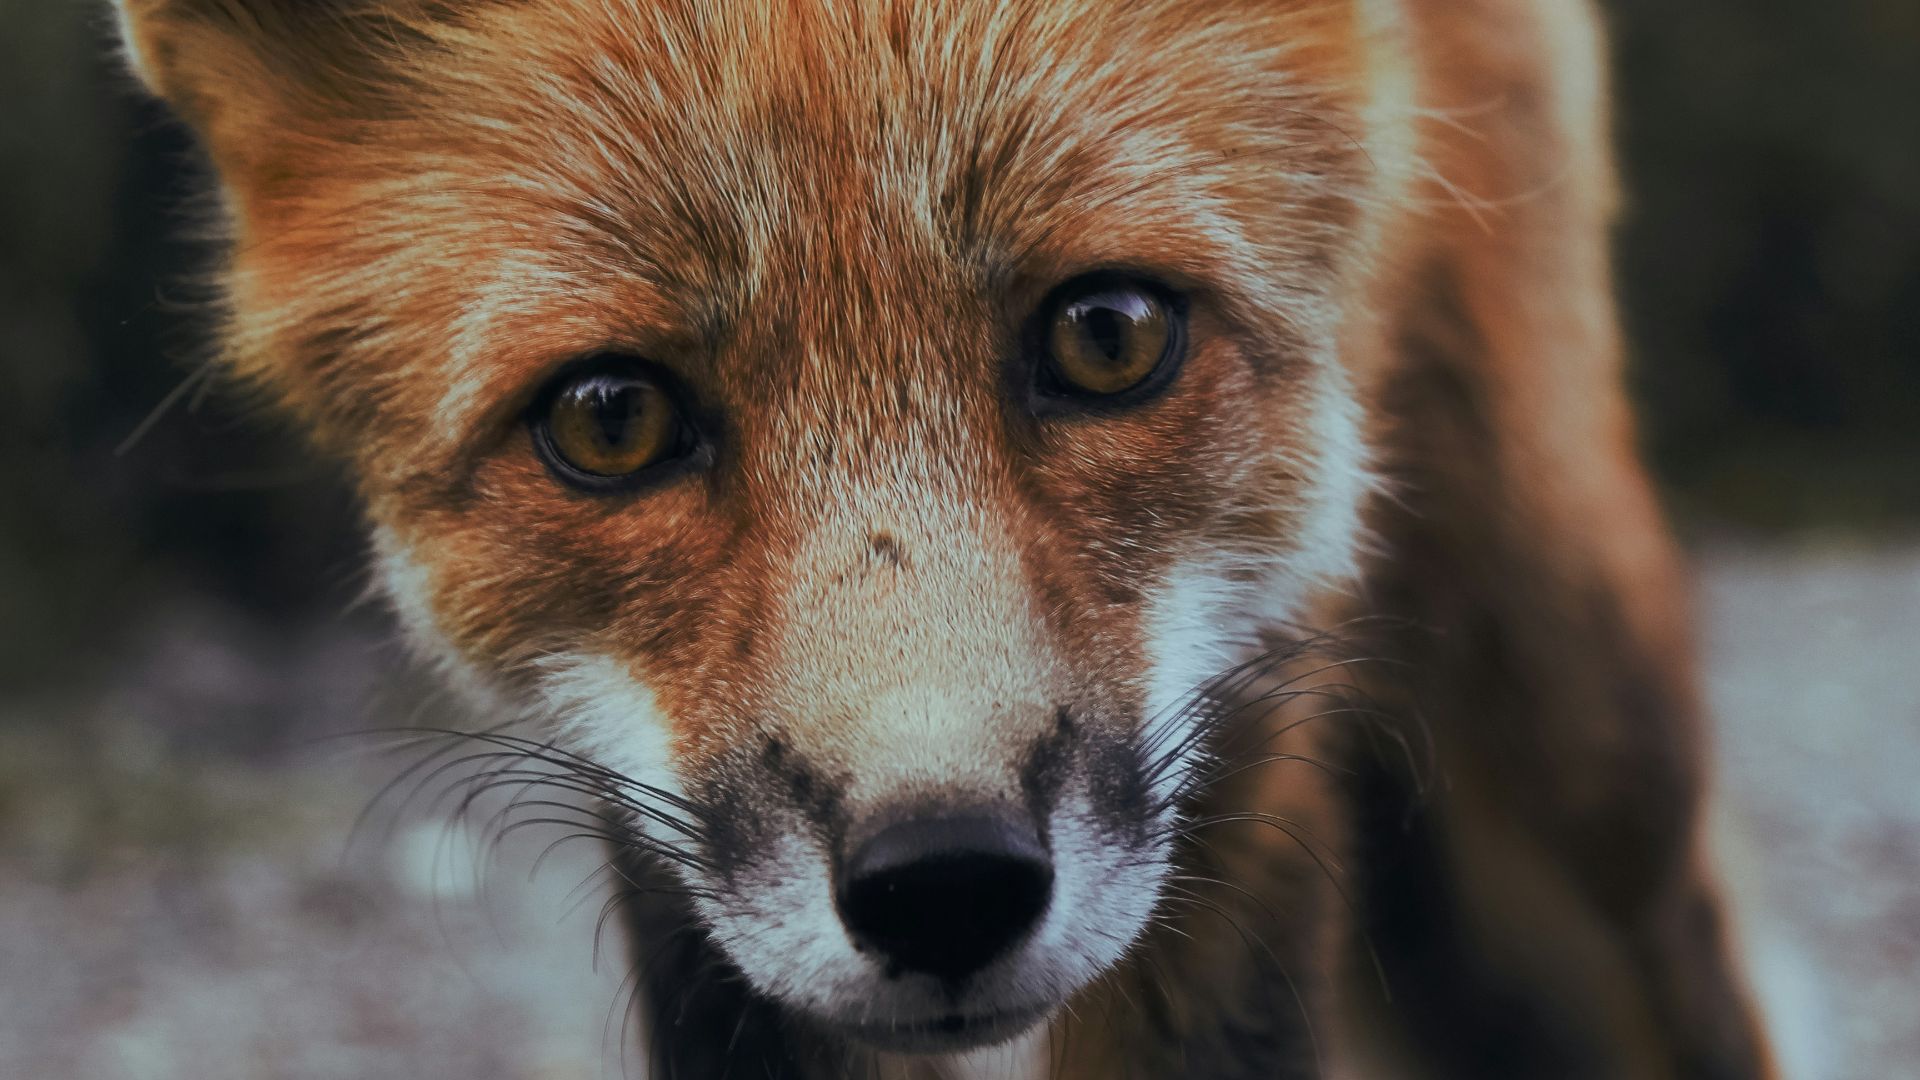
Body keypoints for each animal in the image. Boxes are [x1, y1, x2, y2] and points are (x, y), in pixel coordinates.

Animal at [109, 0, 1776, 1076]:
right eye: (610, 421)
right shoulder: (683, 886)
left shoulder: (1241, 760)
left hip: (1585, 742)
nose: (945, 881)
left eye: (1109, 335)